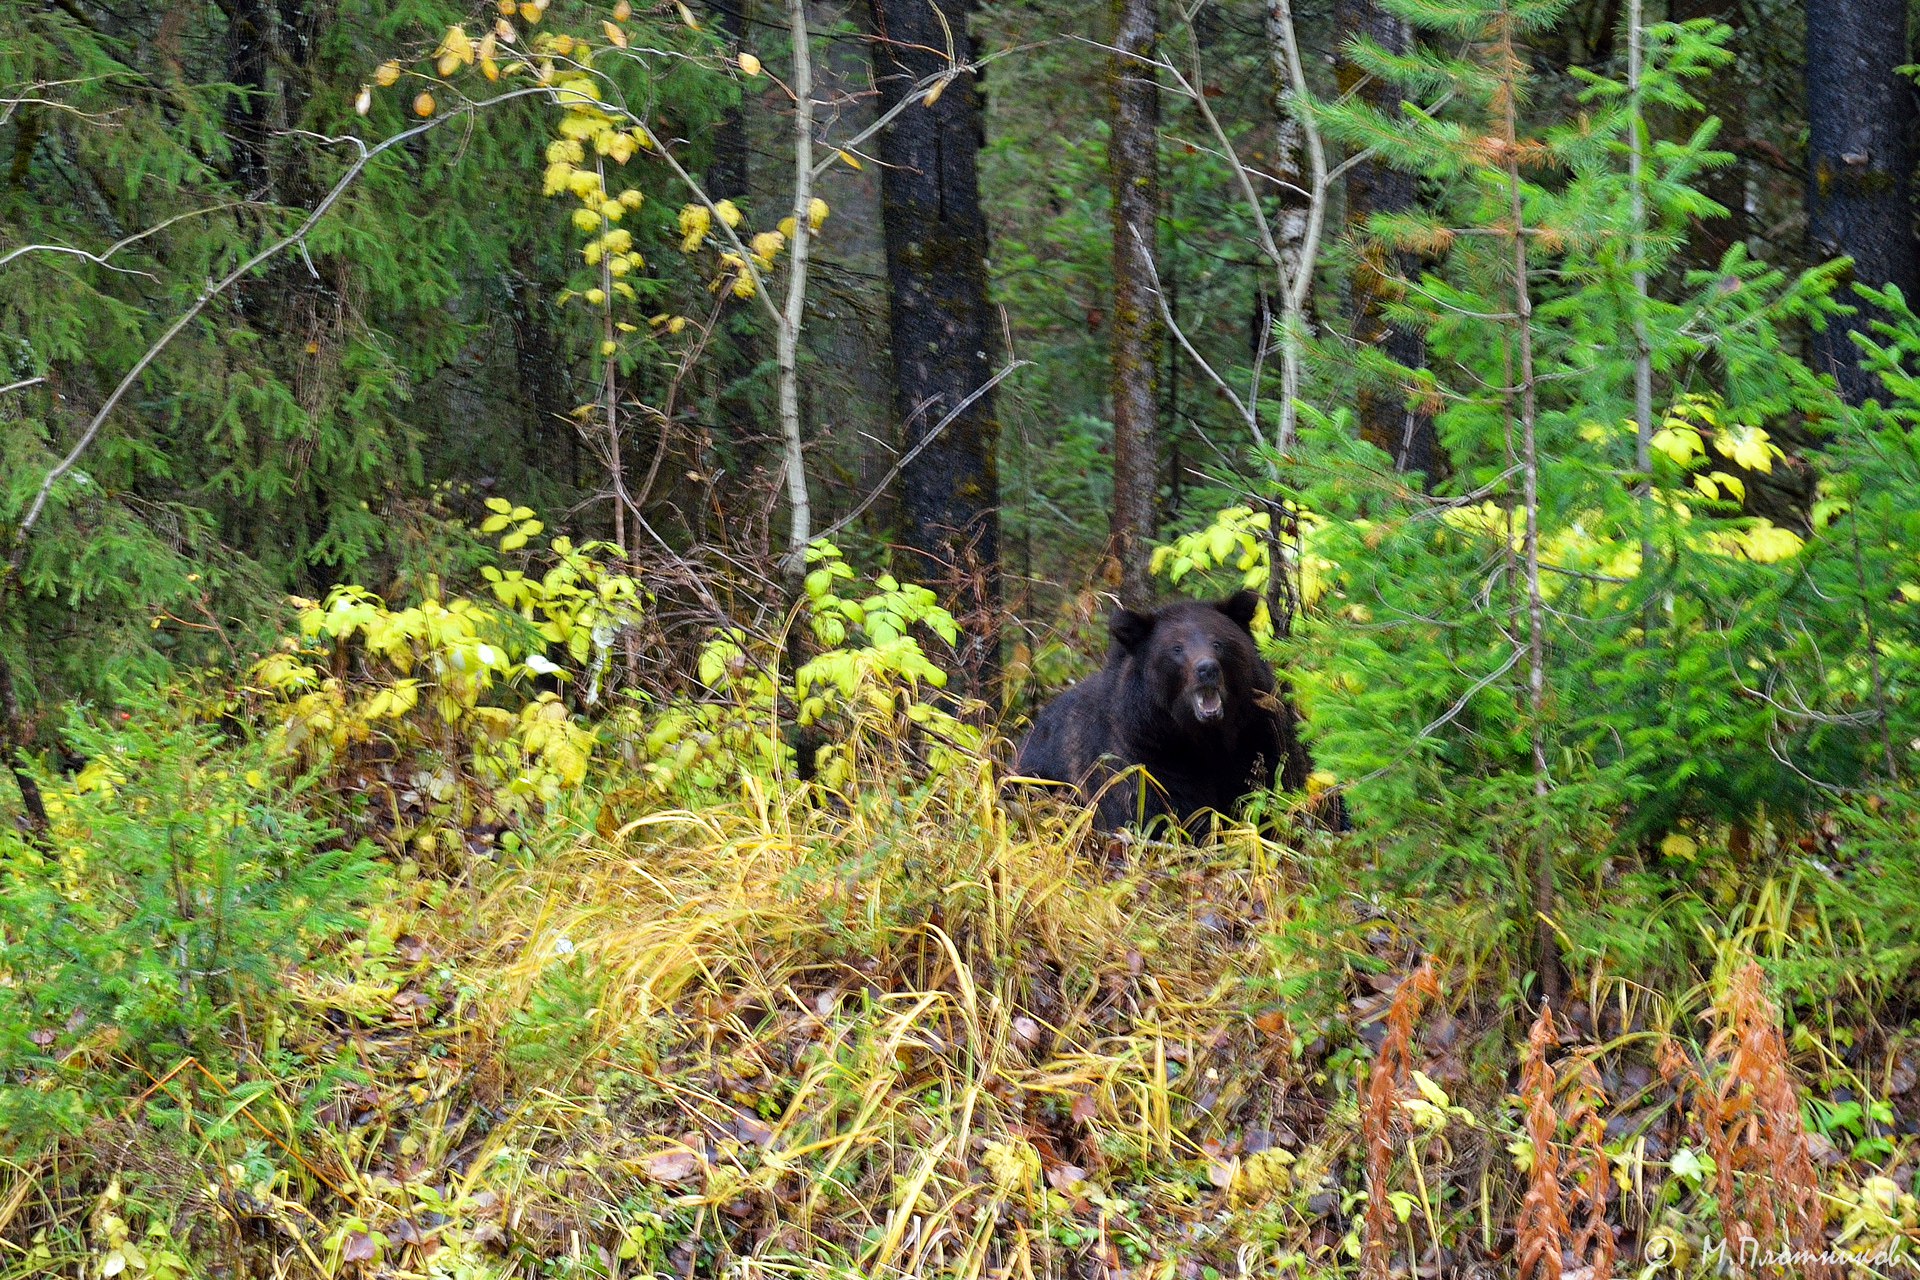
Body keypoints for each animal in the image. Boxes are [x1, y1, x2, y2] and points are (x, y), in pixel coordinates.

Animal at [1006, 587, 1290, 832]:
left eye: (1218, 642)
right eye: (1177, 648)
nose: (1207, 669)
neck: (1201, 739)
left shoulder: (1254, 735)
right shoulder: (1146, 753)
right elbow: (1151, 810)